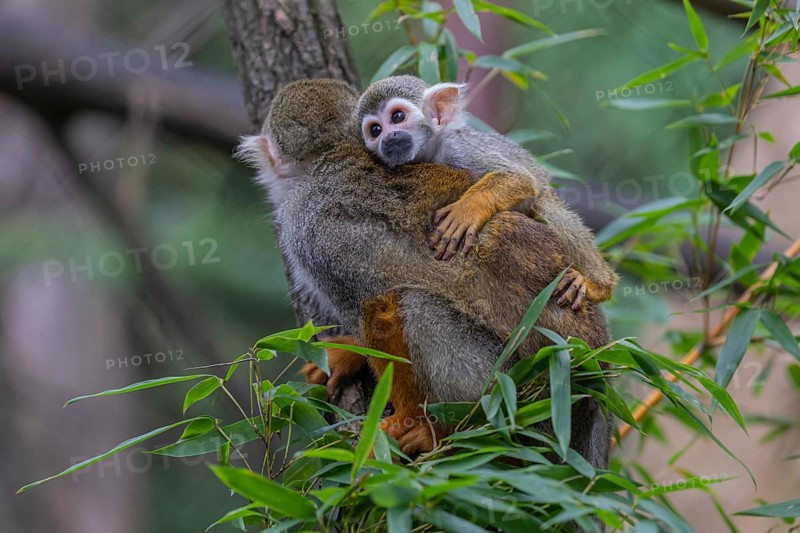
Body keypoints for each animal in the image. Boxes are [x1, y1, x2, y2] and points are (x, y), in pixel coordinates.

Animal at [356, 75, 619, 311]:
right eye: (375, 130)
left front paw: (467, 211)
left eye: (398, 117)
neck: (432, 150)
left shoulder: (459, 149)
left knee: (544, 205)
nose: (388, 137)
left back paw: (600, 285)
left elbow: (521, 179)